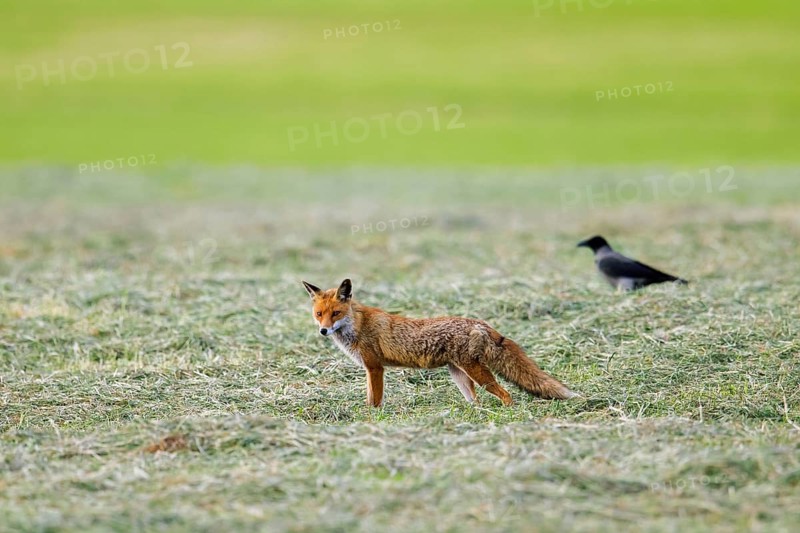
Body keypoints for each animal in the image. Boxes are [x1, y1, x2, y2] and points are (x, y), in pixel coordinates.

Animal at [301, 278, 577, 407]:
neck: (357, 326)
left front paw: (371, 420)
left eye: (336, 313)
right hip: (460, 375)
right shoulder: (372, 369)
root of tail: (478, 322)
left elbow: (374, 401)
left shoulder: (375, 368)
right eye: (319, 314)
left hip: (477, 373)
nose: (323, 331)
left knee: (506, 394)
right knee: (476, 401)